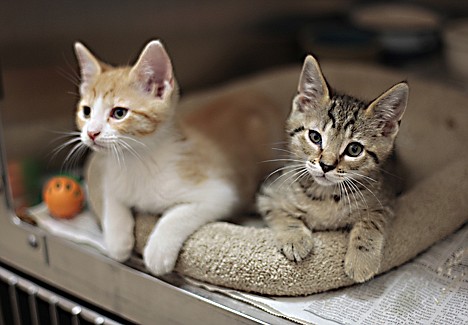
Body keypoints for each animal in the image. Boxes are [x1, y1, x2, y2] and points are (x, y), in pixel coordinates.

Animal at [73, 39, 286, 274]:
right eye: (86, 111)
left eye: (119, 113)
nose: (91, 133)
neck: (138, 160)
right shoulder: (113, 176)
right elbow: (113, 198)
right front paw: (118, 240)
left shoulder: (220, 192)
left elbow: (177, 214)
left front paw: (158, 251)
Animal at [258, 55, 408, 280]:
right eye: (315, 137)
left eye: (354, 149)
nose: (326, 165)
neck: (325, 196)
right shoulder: (268, 194)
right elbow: (280, 213)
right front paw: (294, 238)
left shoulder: (386, 198)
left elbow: (372, 220)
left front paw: (361, 259)